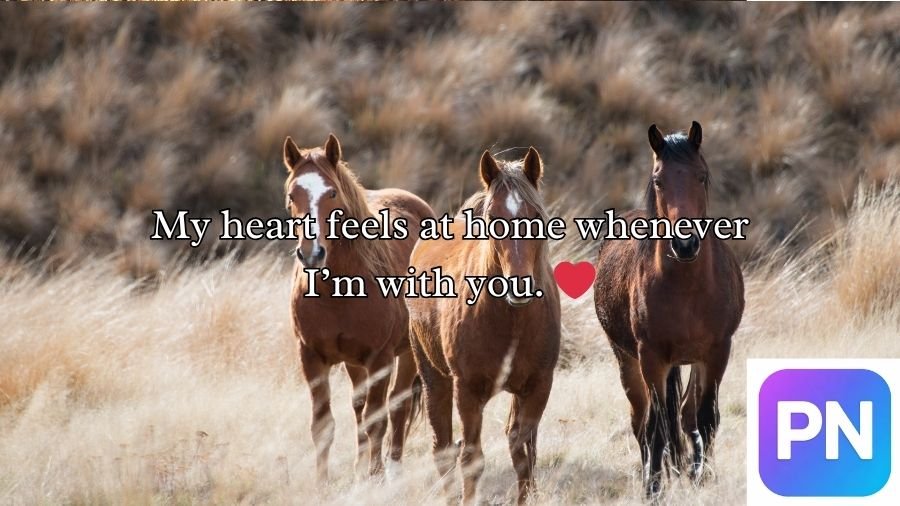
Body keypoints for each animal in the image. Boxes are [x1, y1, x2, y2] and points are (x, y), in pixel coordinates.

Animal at [283, 133, 435, 483]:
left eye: (332, 193)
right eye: (292, 195)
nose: (311, 254)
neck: (337, 292)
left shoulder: (380, 358)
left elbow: (378, 418)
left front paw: (375, 478)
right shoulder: (311, 356)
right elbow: (323, 424)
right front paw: (322, 483)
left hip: (406, 353)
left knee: (396, 407)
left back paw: (392, 471)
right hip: (353, 362)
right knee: (358, 407)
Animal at [407, 148, 561, 505]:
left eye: (535, 216)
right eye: (493, 219)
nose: (520, 286)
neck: (512, 321)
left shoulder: (539, 386)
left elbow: (523, 450)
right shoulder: (467, 390)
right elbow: (471, 457)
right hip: (434, 377)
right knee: (443, 447)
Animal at [592, 122, 744, 498]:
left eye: (701, 176)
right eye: (658, 180)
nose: (685, 243)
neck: (686, 288)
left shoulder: (717, 352)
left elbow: (705, 418)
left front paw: (703, 478)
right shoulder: (652, 358)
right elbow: (658, 426)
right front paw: (653, 489)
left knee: (686, 415)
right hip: (628, 360)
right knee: (642, 421)